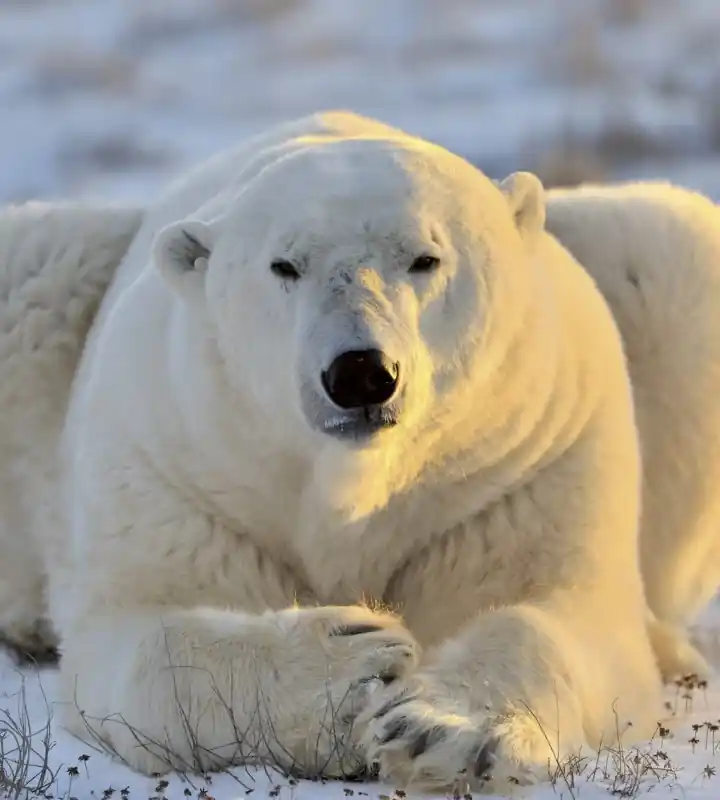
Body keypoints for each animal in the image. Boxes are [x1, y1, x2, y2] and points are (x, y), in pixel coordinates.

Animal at [0, 110, 717, 794]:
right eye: (284, 266)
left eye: (425, 258)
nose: (361, 373)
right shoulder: (176, 461)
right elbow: (139, 633)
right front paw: (355, 663)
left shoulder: (528, 461)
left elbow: (558, 610)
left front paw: (442, 732)